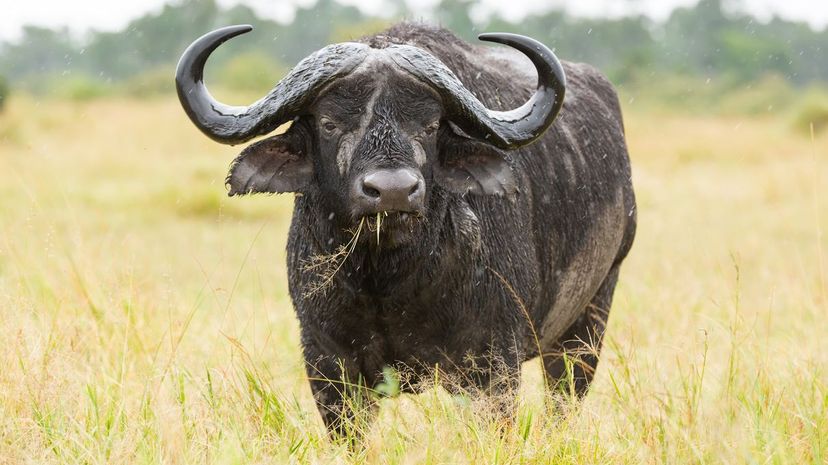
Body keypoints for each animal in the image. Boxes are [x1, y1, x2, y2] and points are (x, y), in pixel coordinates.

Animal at [176, 22, 636, 434]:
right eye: (329, 123)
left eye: (429, 125)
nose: (393, 191)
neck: (388, 277)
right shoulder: (328, 363)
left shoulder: (493, 365)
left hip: (589, 320)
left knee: (563, 402)